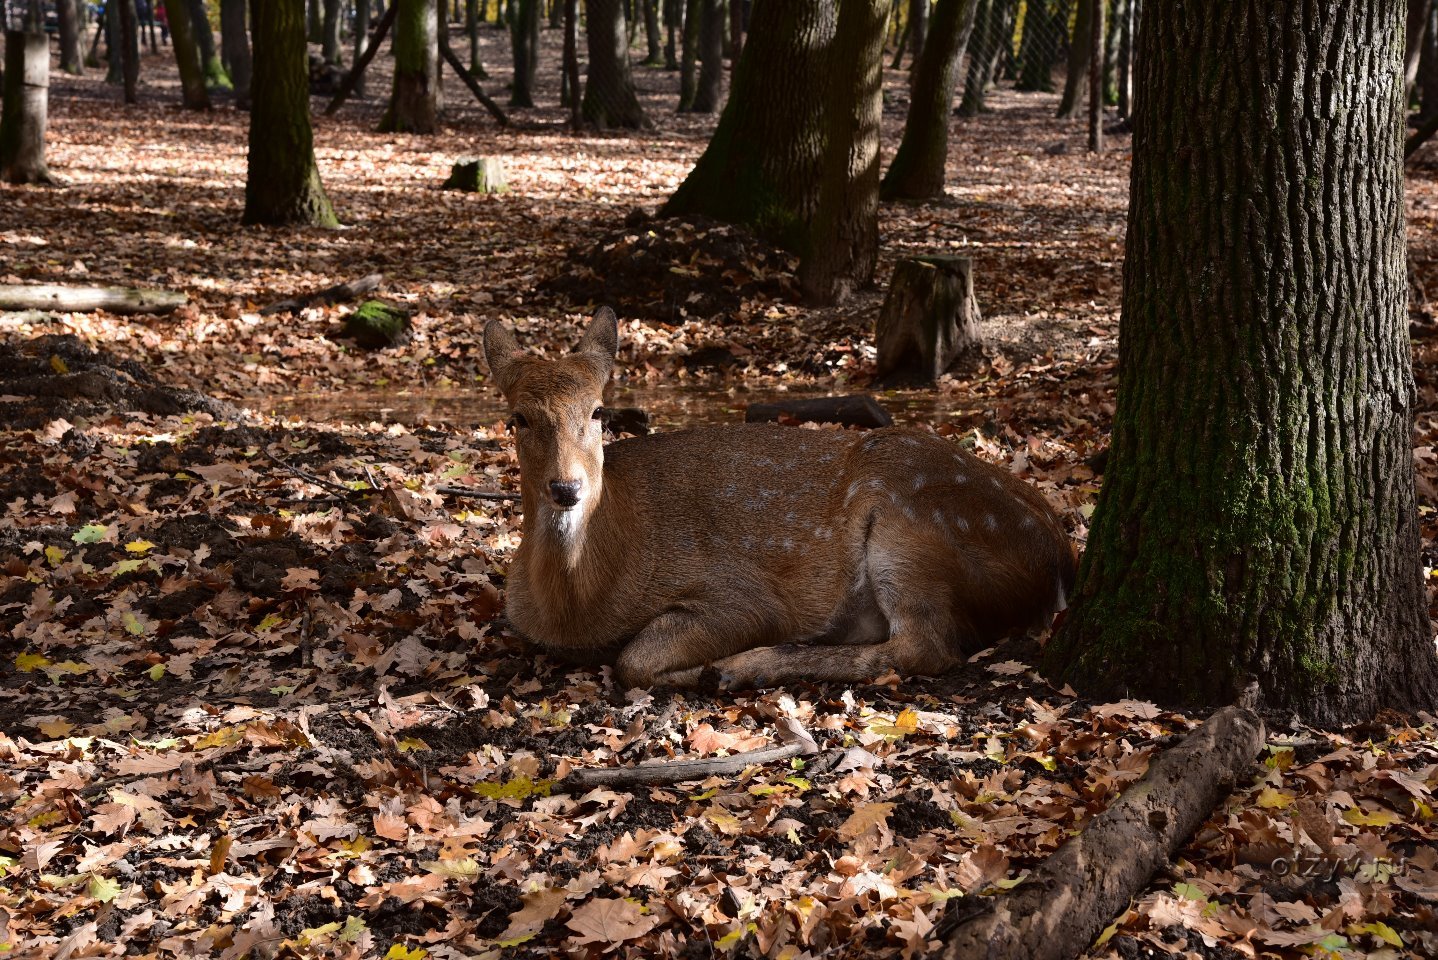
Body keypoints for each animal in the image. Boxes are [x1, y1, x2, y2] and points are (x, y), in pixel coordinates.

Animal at [486, 311, 1081, 692]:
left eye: (597, 412)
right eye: (518, 418)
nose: (566, 488)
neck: (578, 608)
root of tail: (1062, 555)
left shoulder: (739, 594)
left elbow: (633, 660)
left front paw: (701, 671)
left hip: (911, 525)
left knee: (927, 646)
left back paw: (740, 668)